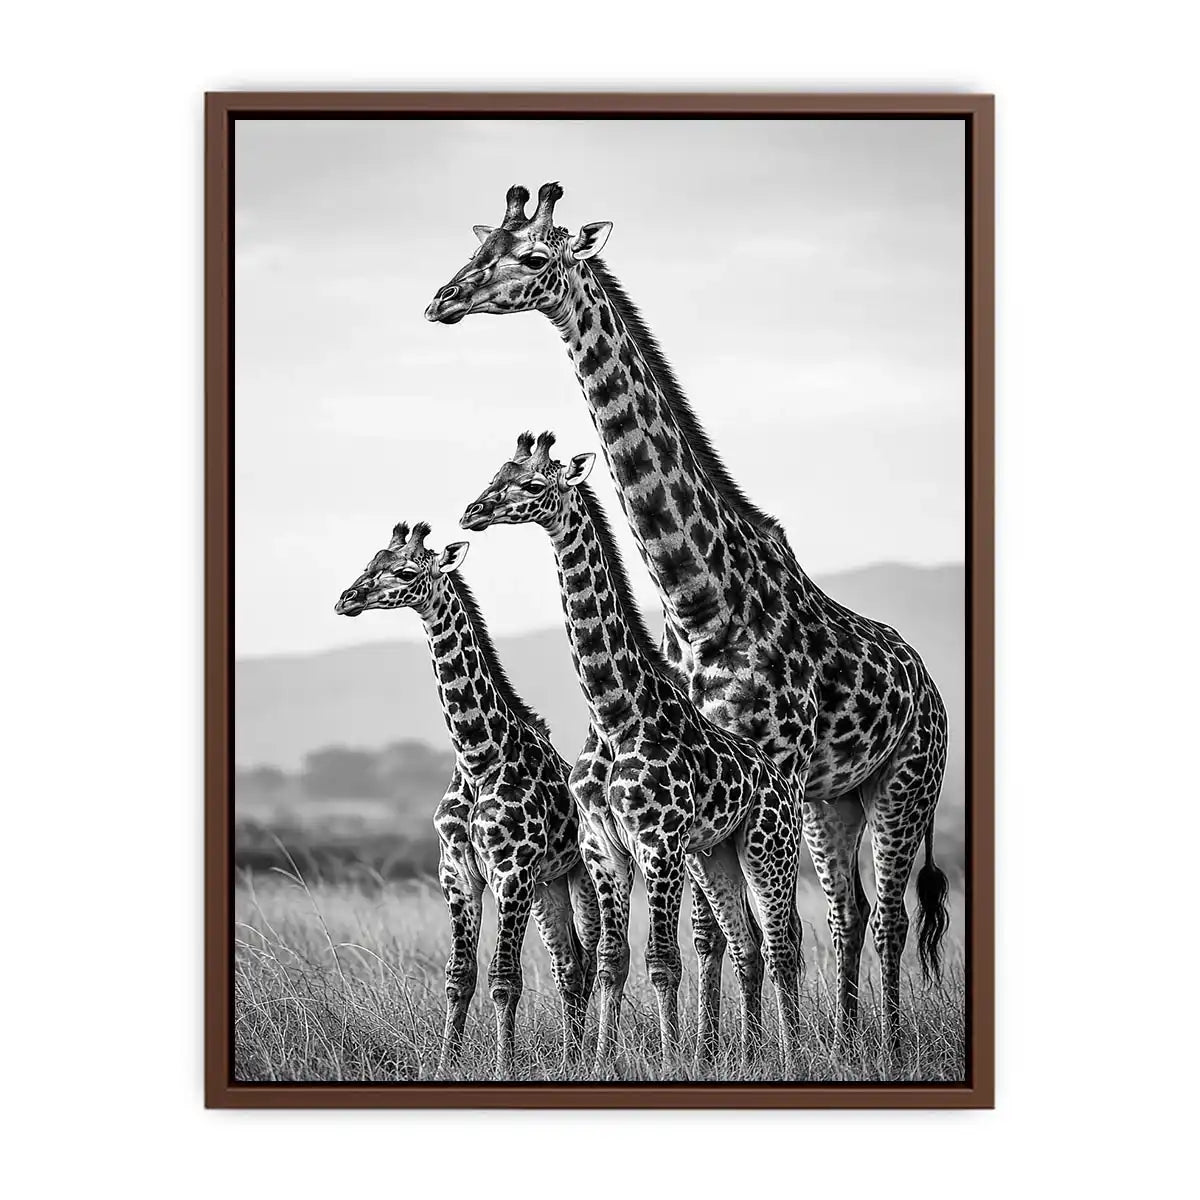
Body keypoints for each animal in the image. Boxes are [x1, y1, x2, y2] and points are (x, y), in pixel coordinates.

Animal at [334, 520, 599, 1076]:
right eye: (370, 561)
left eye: (406, 572)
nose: (347, 599)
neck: (479, 756)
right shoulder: (456, 872)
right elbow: (459, 977)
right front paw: (445, 1064)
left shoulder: (511, 871)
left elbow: (504, 980)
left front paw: (504, 1066)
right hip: (548, 888)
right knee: (568, 964)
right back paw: (571, 1057)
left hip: (579, 877)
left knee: (586, 960)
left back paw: (580, 1058)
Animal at [460, 432, 805, 1073]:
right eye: (497, 474)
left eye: (534, 484)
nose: (472, 513)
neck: (614, 713)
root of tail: (784, 778)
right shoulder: (603, 848)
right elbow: (610, 959)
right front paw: (599, 1059)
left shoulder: (658, 842)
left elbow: (662, 961)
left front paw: (671, 1061)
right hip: (715, 854)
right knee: (748, 943)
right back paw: (751, 1056)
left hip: (768, 848)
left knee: (781, 944)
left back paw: (794, 1057)